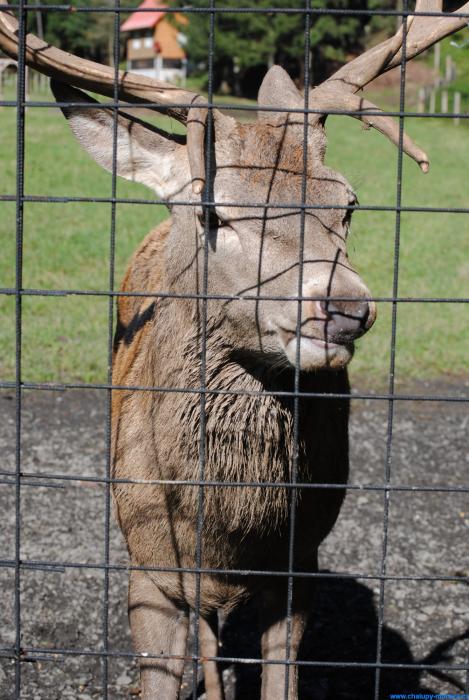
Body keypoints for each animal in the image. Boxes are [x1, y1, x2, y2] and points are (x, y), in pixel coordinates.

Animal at [0, 2, 464, 696]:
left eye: (348, 203)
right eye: (215, 214)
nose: (346, 309)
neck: (226, 533)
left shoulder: (300, 564)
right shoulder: (147, 567)